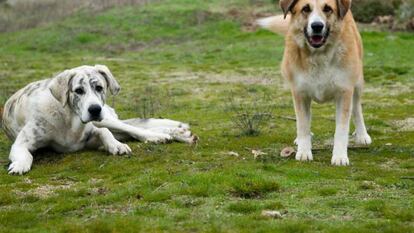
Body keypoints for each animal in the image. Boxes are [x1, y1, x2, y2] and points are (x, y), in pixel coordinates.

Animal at [2, 64, 197, 174]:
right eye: (79, 90)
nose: (95, 109)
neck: (69, 120)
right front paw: (19, 165)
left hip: (106, 119)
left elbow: (104, 133)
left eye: (99, 87)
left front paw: (116, 146)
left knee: (133, 129)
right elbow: (24, 154)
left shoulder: (92, 131)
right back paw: (178, 133)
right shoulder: (21, 142)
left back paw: (165, 135)